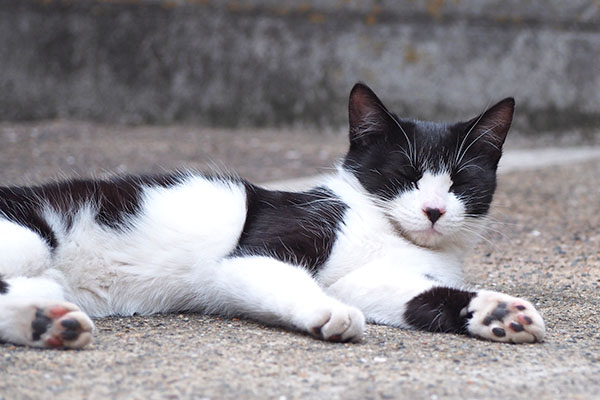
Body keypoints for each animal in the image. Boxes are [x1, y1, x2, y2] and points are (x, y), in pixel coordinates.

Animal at [0, 85, 544, 350]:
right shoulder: (259, 247)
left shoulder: (374, 279)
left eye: (459, 181)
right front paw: (329, 313)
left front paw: (498, 312)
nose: (433, 210)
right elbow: (287, 277)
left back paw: (46, 322)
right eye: (405, 175)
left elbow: (410, 297)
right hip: (27, 236)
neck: (382, 228)